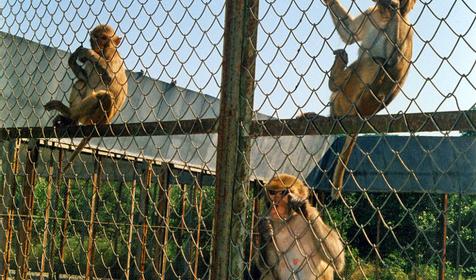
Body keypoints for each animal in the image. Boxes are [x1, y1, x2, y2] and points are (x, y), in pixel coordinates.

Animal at [43, 24, 126, 172]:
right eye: (96, 37)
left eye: (104, 38)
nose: (97, 43)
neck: (104, 54)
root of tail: (106, 122)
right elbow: (84, 78)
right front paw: (73, 58)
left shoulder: (115, 59)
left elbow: (110, 78)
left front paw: (88, 53)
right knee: (81, 83)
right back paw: (70, 119)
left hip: (94, 118)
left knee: (105, 97)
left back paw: (69, 113)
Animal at [324, 0, 416, 199]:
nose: (387, 8)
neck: (384, 18)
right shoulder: (371, 14)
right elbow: (350, 33)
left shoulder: (406, 28)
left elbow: (395, 59)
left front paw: (396, 6)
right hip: (345, 100)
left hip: (357, 99)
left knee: (377, 61)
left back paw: (334, 81)